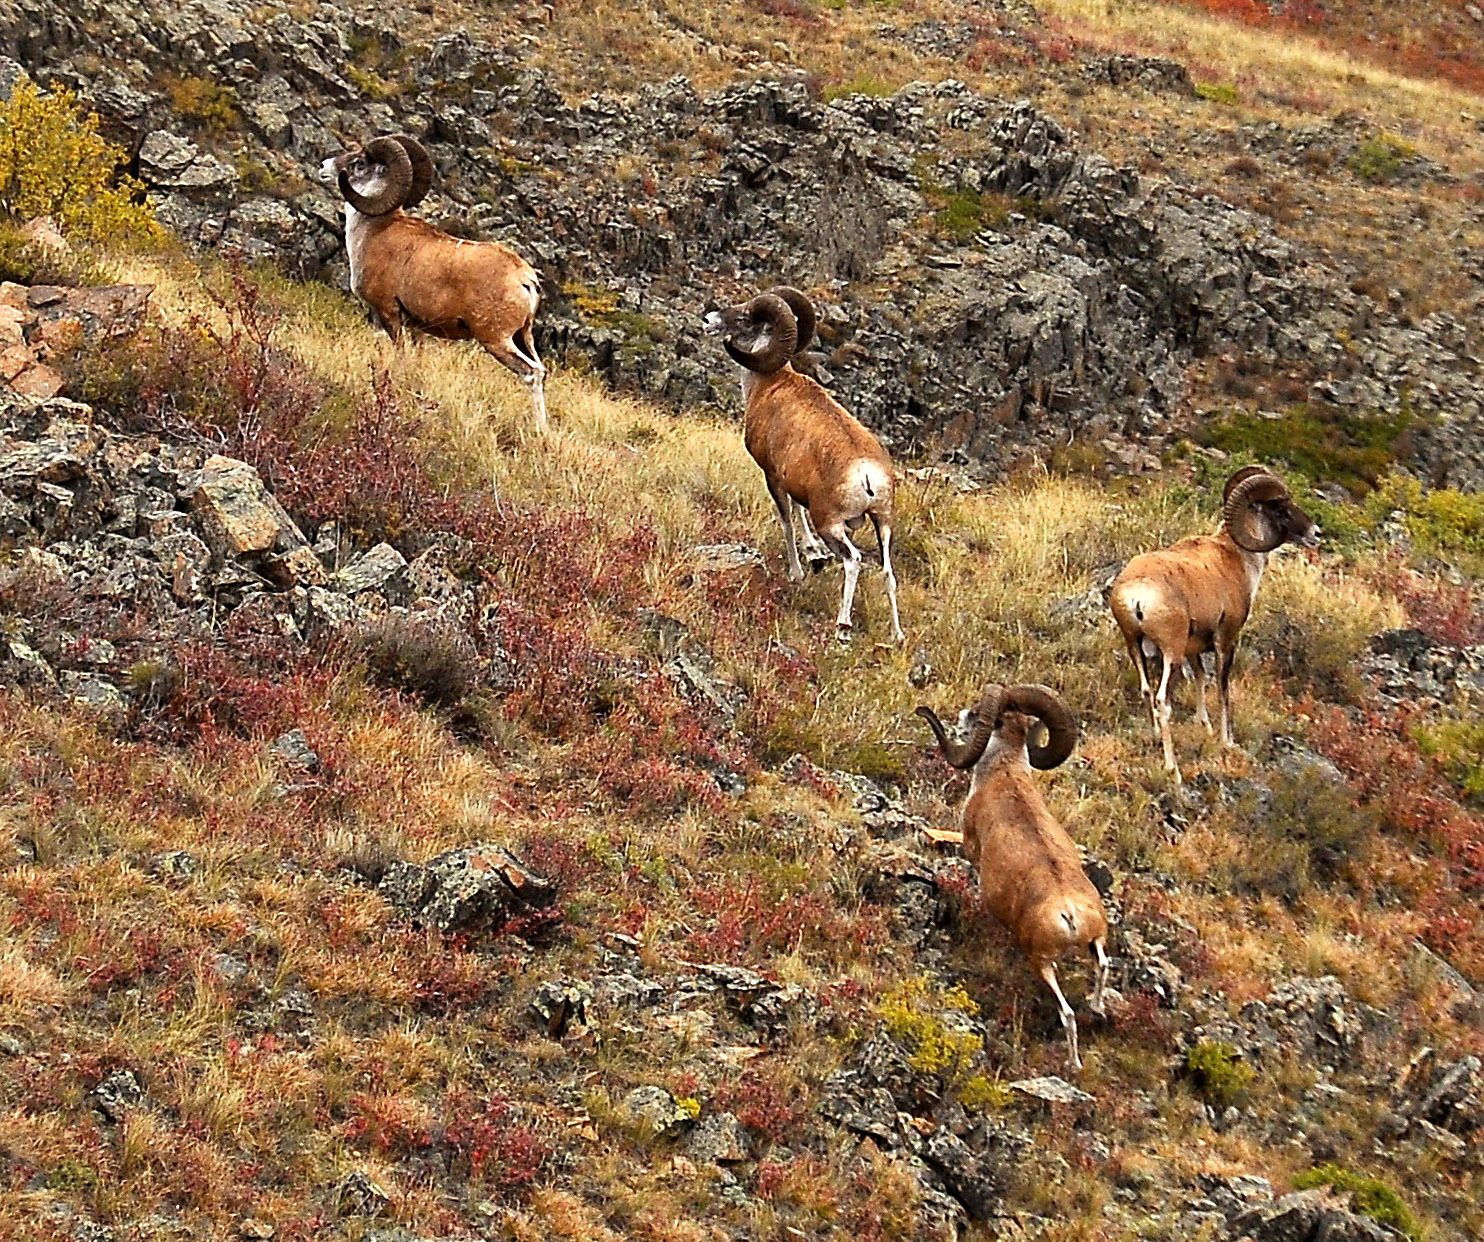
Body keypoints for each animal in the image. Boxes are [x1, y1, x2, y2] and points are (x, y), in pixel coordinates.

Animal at [321, 134, 549, 432]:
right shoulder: (417, 326)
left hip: (497, 340)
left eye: (359, 163)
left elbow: (400, 355)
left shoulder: (387, 312)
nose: (324, 166)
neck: (373, 232)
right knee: (540, 371)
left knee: (531, 374)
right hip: (524, 337)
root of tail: (526, 280)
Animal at [704, 287, 903, 642]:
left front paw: (797, 572)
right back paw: (897, 636)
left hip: (831, 523)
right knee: (887, 573)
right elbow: (798, 512)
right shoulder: (793, 483)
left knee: (853, 560)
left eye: (744, 318)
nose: (709, 320)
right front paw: (814, 553)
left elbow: (786, 521)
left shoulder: (772, 476)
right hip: (883, 523)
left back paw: (842, 626)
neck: (768, 384)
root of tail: (867, 474)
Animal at [916, 683, 1108, 1071]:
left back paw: (1073, 1064)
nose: (962, 715)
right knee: (1103, 965)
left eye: (978, 713)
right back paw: (1098, 1009)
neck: (1002, 773)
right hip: (1095, 939)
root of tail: (1069, 914)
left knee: (1067, 1014)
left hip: (1042, 961)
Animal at [1109, 466, 1318, 782]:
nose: (1315, 533)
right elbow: (1222, 688)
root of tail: (1137, 593)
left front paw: (1204, 725)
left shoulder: (1194, 648)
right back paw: (1173, 769)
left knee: (1146, 690)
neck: (1238, 559)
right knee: (1162, 702)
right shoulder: (1225, 640)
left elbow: (1200, 677)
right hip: (1171, 653)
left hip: (1134, 644)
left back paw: (1156, 738)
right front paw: (1226, 740)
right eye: (1280, 508)